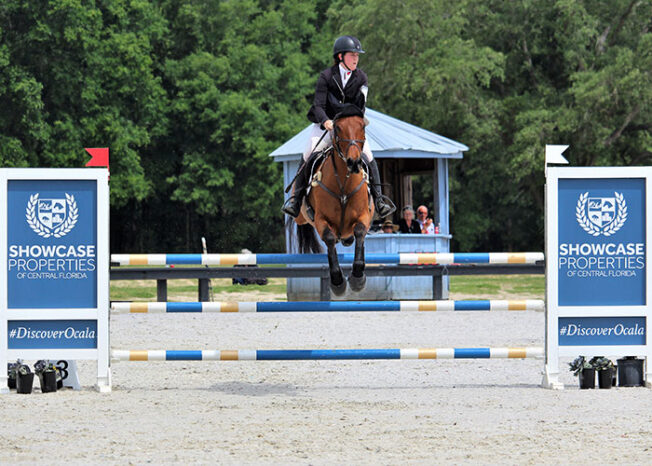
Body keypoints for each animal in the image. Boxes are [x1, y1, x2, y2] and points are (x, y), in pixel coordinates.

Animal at [292, 106, 372, 294]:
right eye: (338, 128)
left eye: (362, 127)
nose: (354, 162)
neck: (343, 183)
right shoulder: (321, 219)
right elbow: (328, 239)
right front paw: (337, 282)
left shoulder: (364, 216)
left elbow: (360, 232)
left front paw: (358, 277)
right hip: (300, 217)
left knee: (351, 237)